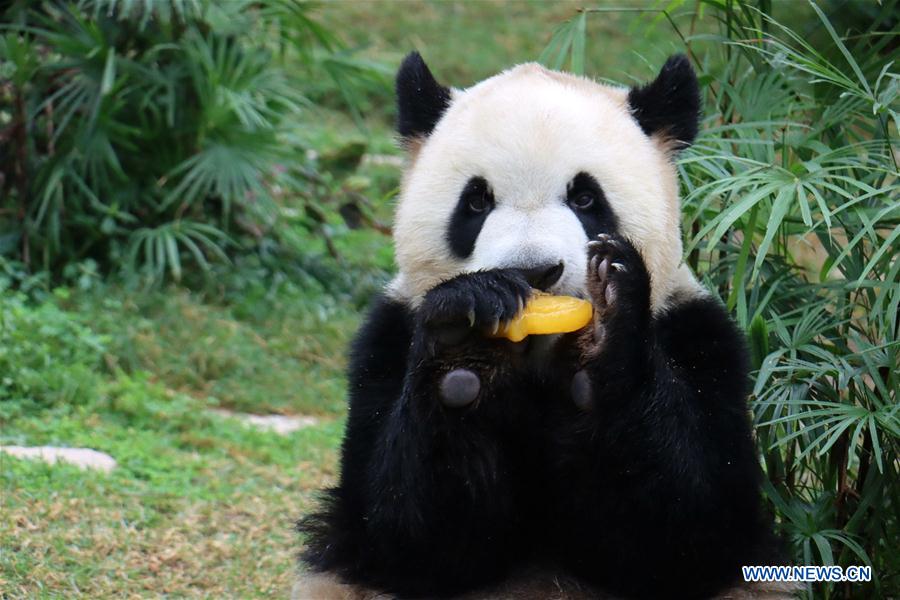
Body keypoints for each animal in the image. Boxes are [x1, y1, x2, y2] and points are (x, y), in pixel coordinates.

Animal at [298, 52, 796, 600]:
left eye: (585, 198)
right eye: (476, 202)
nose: (534, 271)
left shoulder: (699, 341)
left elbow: (689, 528)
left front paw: (607, 328)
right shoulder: (386, 343)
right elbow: (401, 534)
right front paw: (462, 344)